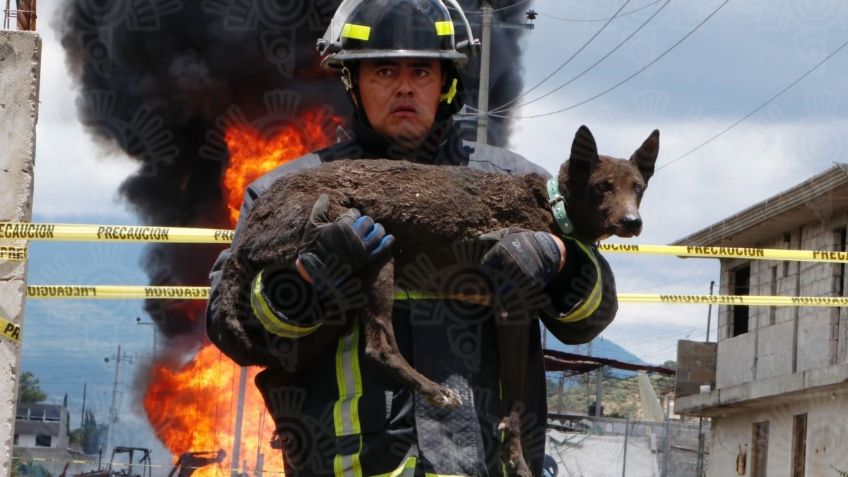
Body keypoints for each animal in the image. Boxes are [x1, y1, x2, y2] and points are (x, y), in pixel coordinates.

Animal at [217, 124, 656, 474]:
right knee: (378, 346)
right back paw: (435, 391)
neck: (552, 203)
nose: (633, 223)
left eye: (638, 188)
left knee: (274, 375)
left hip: (337, 299)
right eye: (602, 186)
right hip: (370, 251)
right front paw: (516, 459)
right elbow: (514, 403)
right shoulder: (511, 304)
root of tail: (249, 230)